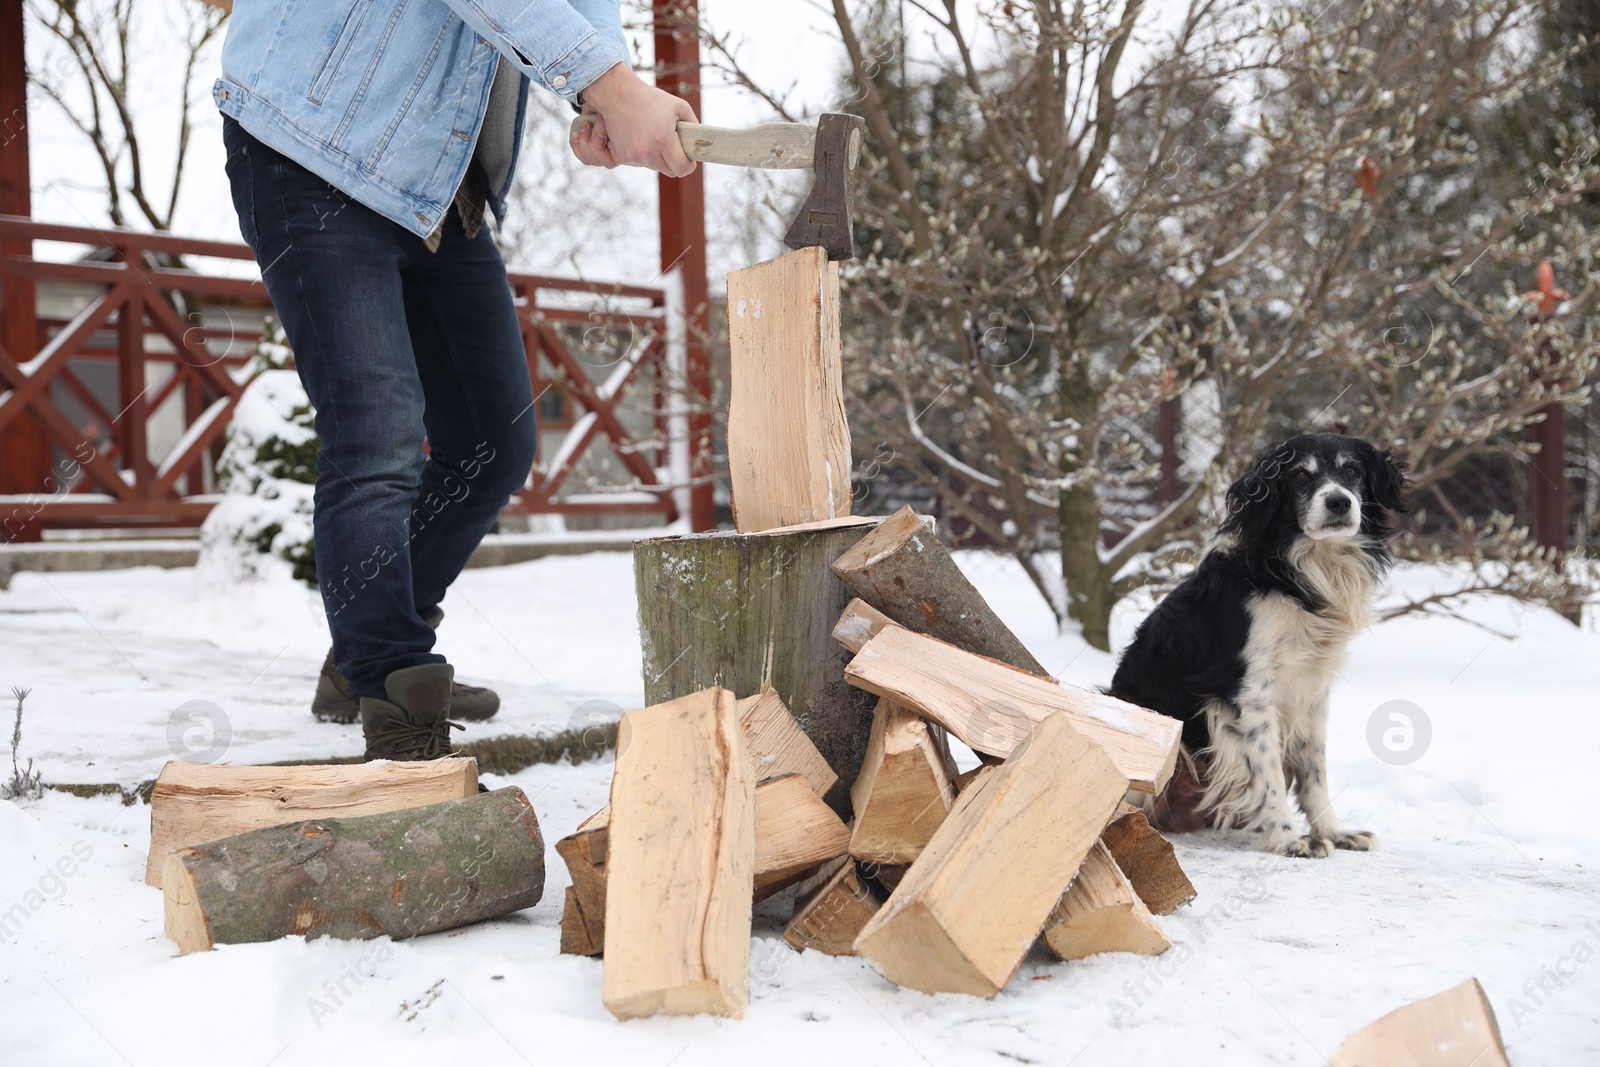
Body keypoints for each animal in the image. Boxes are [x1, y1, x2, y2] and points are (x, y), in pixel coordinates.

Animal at [1107, 435, 1408, 857]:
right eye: (1299, 476)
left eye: (1352, 471)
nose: (1339, 502)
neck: (1302, 566)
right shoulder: (1248, 692)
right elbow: (1269, 772)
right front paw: (1287, 837)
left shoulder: (1313, 690)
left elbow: (1314, 770)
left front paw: (1333, 831)